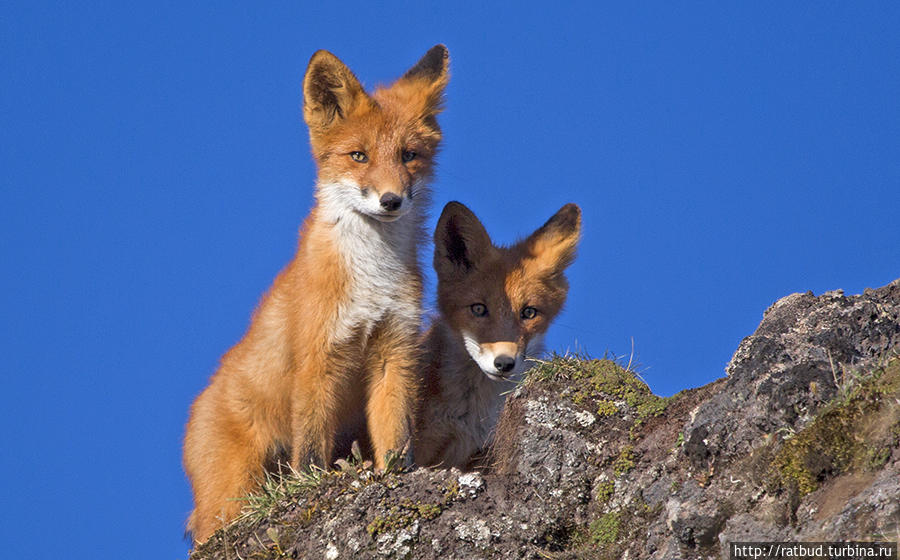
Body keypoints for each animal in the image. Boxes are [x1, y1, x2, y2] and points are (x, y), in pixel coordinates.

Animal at [184, 46, 450, 544]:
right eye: (358, 155)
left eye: (409, 156)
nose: (391, 200)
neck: (371, 278)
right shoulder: (317, 359)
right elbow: (309, 452)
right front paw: (312, 489)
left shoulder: (394, 350)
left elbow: (395, 436)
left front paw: (394, 477)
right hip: (234, 494)